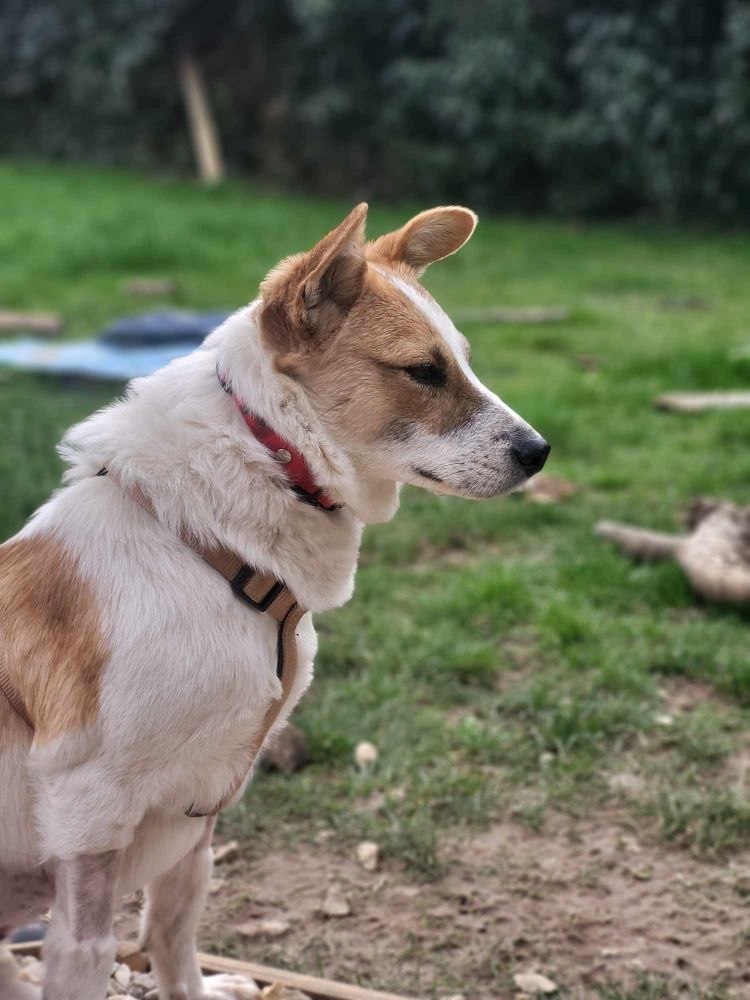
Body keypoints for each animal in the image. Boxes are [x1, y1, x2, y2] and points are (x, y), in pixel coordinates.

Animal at [0, 205, 548, 1000]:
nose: (541, 452)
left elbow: (174, 941)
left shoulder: (198, 815)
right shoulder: (88, 815)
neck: (211, 545)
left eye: (463, 360)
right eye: (422, 371)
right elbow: (88, 951)